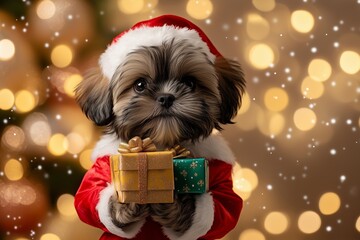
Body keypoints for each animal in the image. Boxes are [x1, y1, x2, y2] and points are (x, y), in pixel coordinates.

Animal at [75, 15, 246, 240]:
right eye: (140, 85)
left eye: (190, 83)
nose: (166, 97)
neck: (160, 143)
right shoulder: (99, 168)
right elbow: (87, 198)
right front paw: (128, 201)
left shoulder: (222, 175)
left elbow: (226, 208)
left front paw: (174, 205)